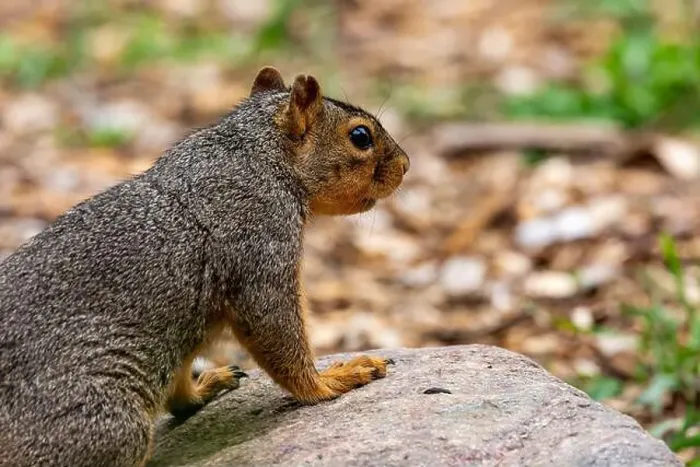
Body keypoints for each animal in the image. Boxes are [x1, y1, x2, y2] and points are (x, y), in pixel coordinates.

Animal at [0, 66, 409, 467]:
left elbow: (180, 383)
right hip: (102, 421)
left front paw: (202, 389)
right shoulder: (258, 242)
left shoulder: (188, 331)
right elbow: (276, 331)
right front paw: (332, 380)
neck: (258, 155)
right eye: (360, 136)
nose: (406, 165)